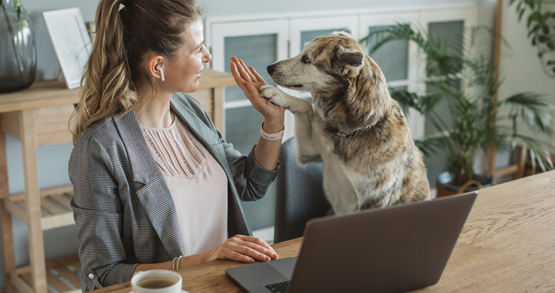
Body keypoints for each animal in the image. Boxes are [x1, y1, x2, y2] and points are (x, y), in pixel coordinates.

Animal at [260, 28, 430, 213]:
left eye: (306, 59)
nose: (269, 67)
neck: (351, 131)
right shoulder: (309, 151)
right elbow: (305, 104)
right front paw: (280, 96)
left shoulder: (373, 202)